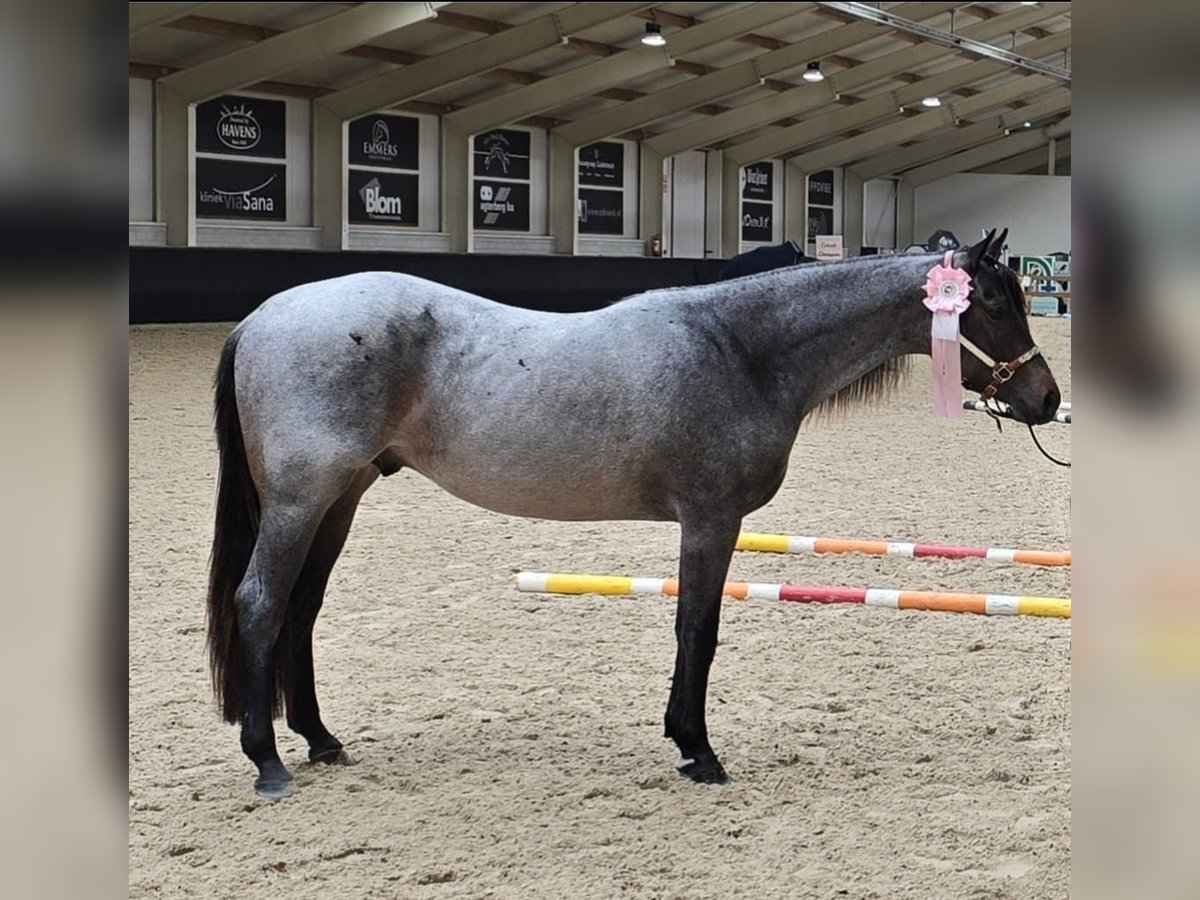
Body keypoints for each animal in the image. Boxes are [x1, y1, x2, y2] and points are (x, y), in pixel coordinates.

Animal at [206, 229, 1060, 801]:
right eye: (990, 303)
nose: (1046, 398)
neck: (740, 350)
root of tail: (262, 317)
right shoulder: (711, 519)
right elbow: (697, 630)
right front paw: (698, 751)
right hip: (302, 500)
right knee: (261, 603)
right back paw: (268, 762)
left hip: (340, 499)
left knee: (302, 607)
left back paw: (321, 740)